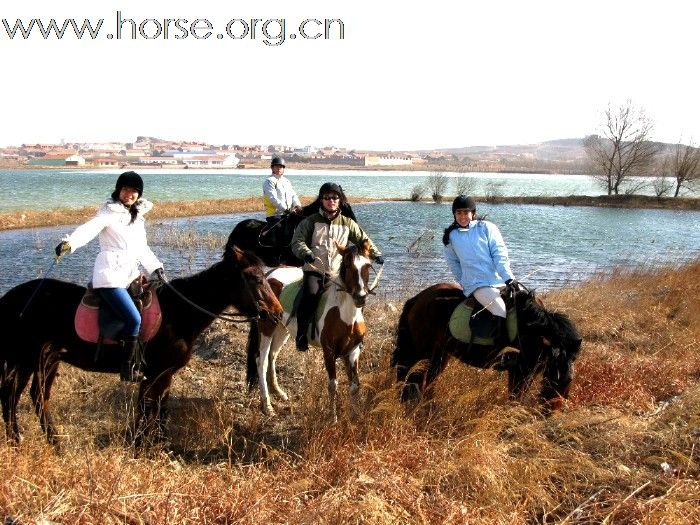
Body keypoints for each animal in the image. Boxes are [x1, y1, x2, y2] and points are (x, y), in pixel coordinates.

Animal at [1, 248, 284, 444]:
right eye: (254, 278)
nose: (277, 314)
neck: (179, 314)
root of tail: (10, 298)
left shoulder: (164, 375)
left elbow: (158, 410)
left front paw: (157, 443)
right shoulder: (156, 373)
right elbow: (149, 410)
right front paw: (142, 445)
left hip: (46, 359)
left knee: (30, 397)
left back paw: (40, 441)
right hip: (29, 358)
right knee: (20, 396)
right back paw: (29, 440)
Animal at [245, 239, 378, 420]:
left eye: (367, 266)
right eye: (347, 265)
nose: (360, 297)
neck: (344, 314)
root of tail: (269, 274)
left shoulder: (353, 351)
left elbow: (355, 385)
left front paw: (355, 417)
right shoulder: (329, 351)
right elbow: (333, 385)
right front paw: (333, 418)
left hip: (282, 329)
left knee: (273, 355)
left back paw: (279, 393)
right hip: (267, 327)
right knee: (262, 360)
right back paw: (267, 406)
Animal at [392, 282, 584, 414]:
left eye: (570, 381)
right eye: (556, 378)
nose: (552, 413)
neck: (533, 329)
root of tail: (418, 298)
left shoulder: (529, 370)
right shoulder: (521, 369)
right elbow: (515, 398)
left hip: (440, 353)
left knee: (425, 381)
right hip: (419, 351)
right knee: (407, 375)